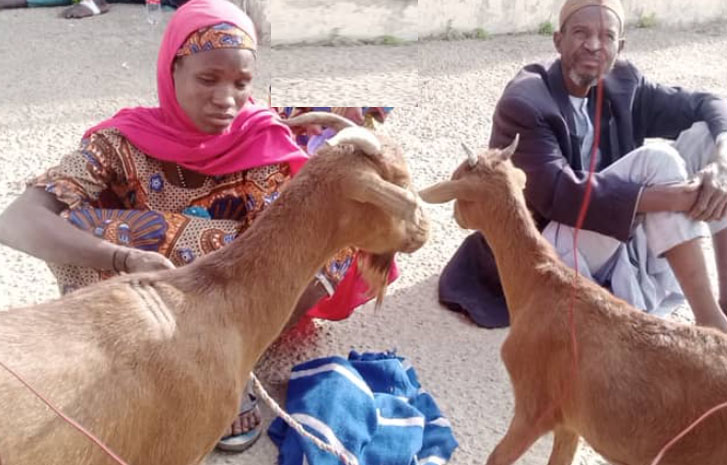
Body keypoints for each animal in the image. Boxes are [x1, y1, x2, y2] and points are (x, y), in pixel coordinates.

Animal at [420, 140, 727, 464]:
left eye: (458, 181)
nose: (456, 215)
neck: (541, 285)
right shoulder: (570, 421)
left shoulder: (535, 406)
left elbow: (498, 457)